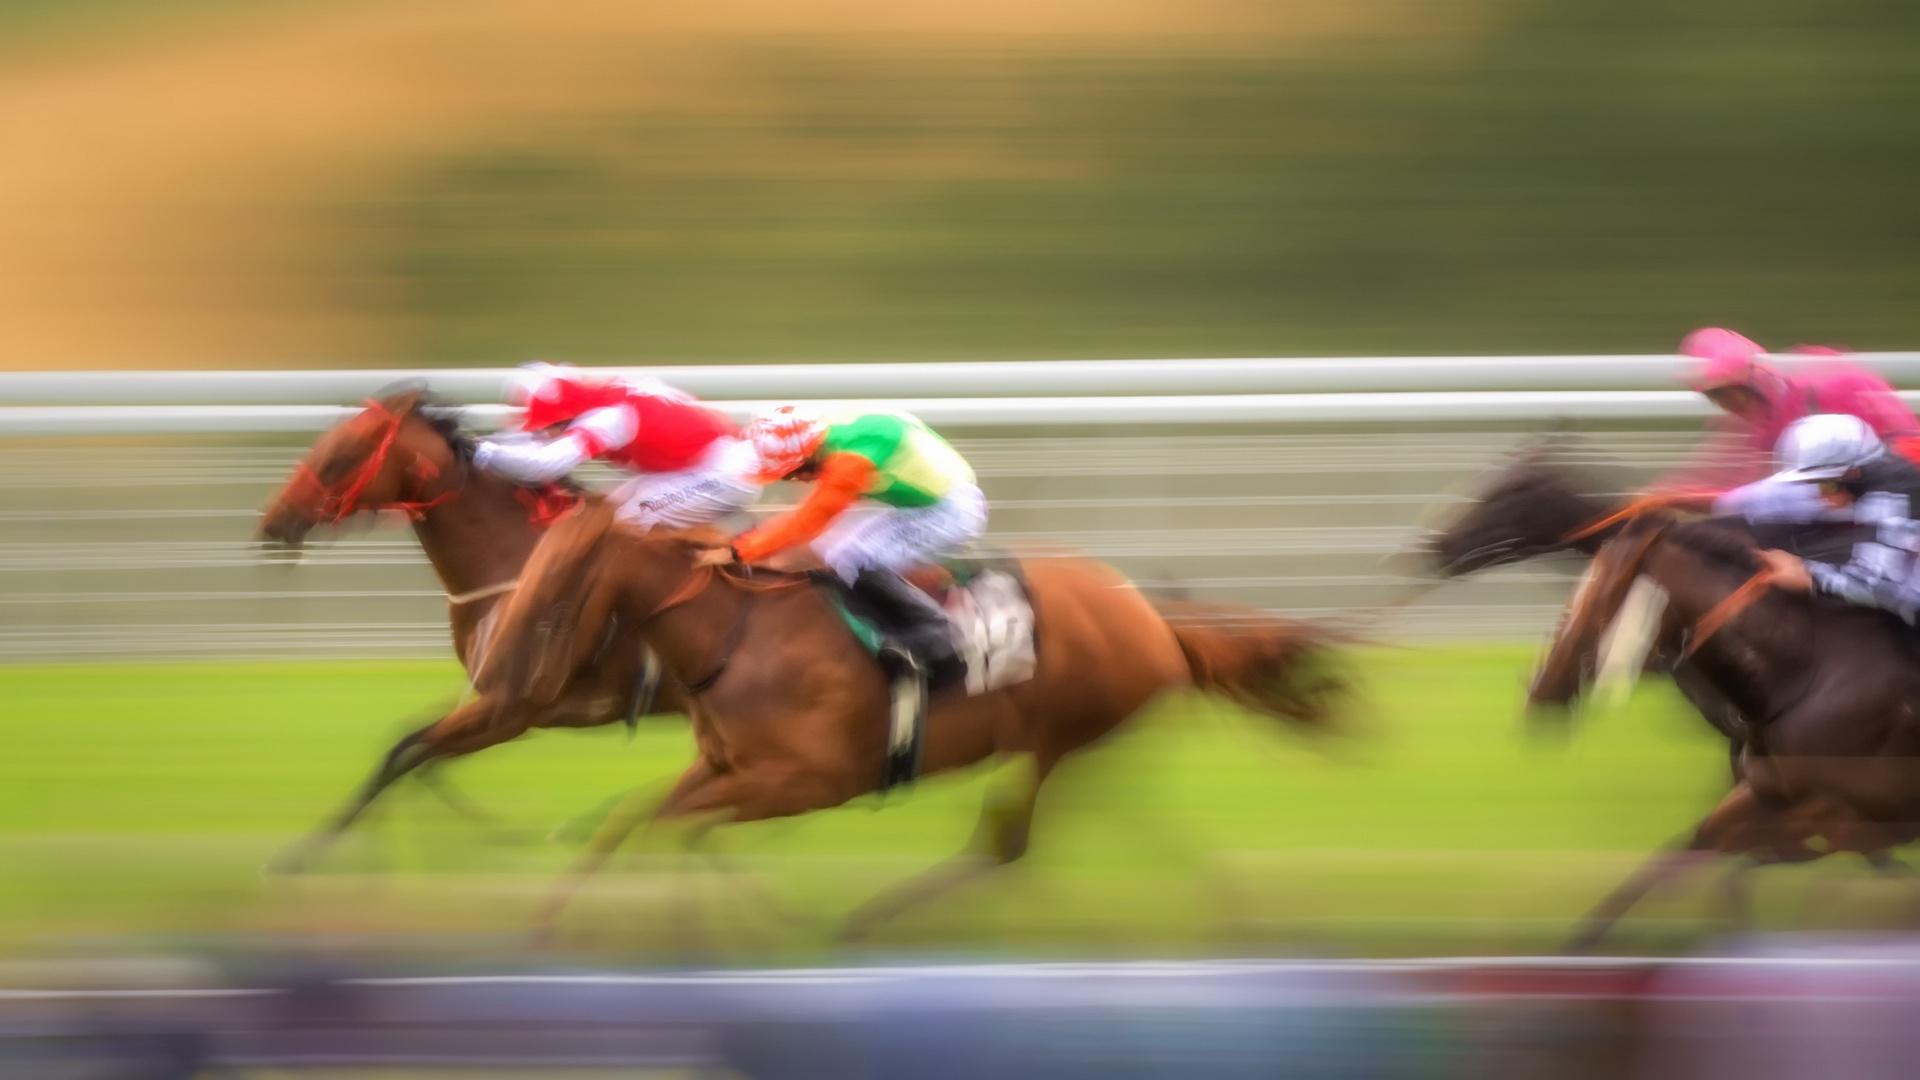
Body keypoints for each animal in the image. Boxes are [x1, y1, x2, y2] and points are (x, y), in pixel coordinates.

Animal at [251, 386, 679, 864]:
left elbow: (411, 754)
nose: (273, 522)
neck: (515, 566)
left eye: (340, 457)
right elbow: (406, 750)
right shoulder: (490, 697)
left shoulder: (511, 710)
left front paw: (307, 853)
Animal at [470, 503, 1344, 933]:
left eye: (554, 587)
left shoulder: (806, 782)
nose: (490, 672)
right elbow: (636, 818)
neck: (735, 634)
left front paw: (692, 927)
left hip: (1053, 736)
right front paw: (548, 920)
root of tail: (1152, 619)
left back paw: (871, 918)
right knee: (1061, 836)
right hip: (1079, 746)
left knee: (1003, 847)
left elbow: (671, 826)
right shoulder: (727, 767)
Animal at [1536, 511, 1920, 941]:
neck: (1805, 671)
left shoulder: (1841, 815)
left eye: (1598, 597)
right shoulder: (1768, 797)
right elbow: (1691, 856)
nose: (1540, 689)